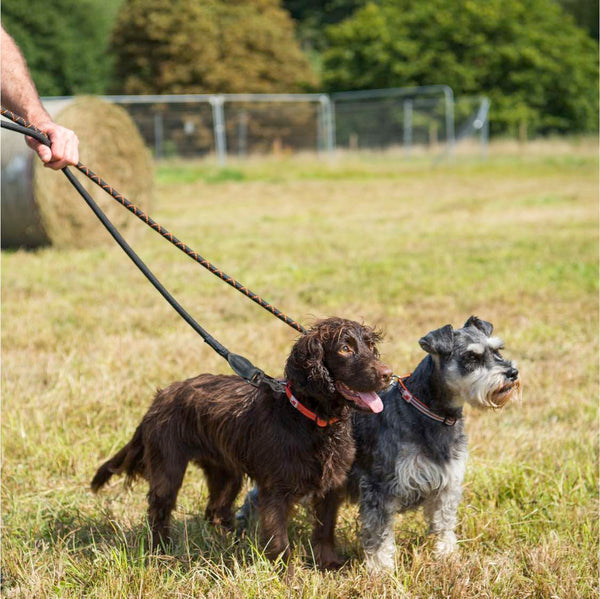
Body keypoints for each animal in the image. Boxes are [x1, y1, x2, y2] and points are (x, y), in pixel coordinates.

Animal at [91, 316, 392, 568]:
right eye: (344, 348)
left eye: (369, 346)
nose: (388, 374)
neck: (311, 419)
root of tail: (160, 397)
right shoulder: (275, 491)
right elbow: (280, 542)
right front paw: (286, 576)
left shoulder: (331, 485)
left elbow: (325, 530)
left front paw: (329, 564)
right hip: (168, 469)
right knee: (159, 512)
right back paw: (160, 552)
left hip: (226, 472)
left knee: (214, 510)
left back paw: (231, 541)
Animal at [238, 314, 520, 572]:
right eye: (471, 357)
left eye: (498, 350)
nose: (512, 372)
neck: (429, 413)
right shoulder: (380, 488)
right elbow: (380, 536)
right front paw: (382, 571)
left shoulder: (447, 484)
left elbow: (444, 524)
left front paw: (447, 556)